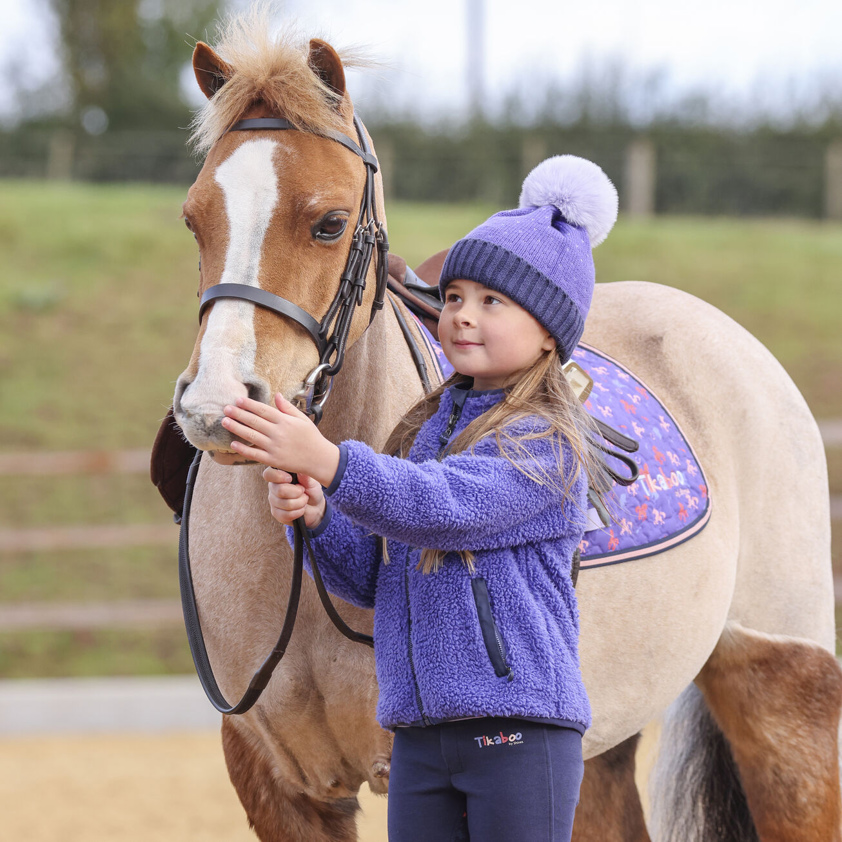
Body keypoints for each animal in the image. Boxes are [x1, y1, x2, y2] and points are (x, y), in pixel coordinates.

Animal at [162, 8, 840, 840]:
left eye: (327, 223)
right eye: (194, 219)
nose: (216, 403)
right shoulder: (277, 783)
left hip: (784, 693)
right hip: (596, 743)